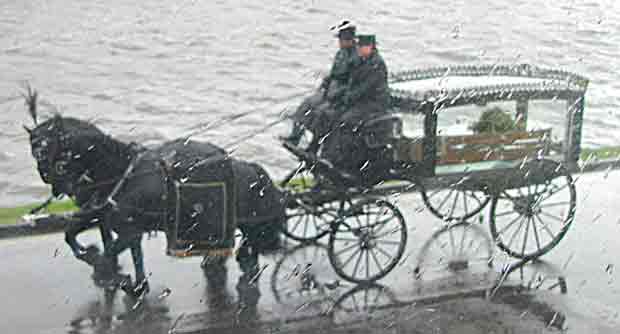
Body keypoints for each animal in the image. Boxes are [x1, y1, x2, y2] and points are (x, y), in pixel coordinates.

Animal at [21, 88, 284, 294]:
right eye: (34, 149)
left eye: (47, 146)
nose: (48, 179)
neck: (122, 172)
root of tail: (252, 169)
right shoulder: (116, 222)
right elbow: (75, 236)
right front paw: (131, 282)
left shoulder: (128, 230)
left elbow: (107, 257)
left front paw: (117, 277)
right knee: (246, 252)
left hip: (249, 225)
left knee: (250, 251)